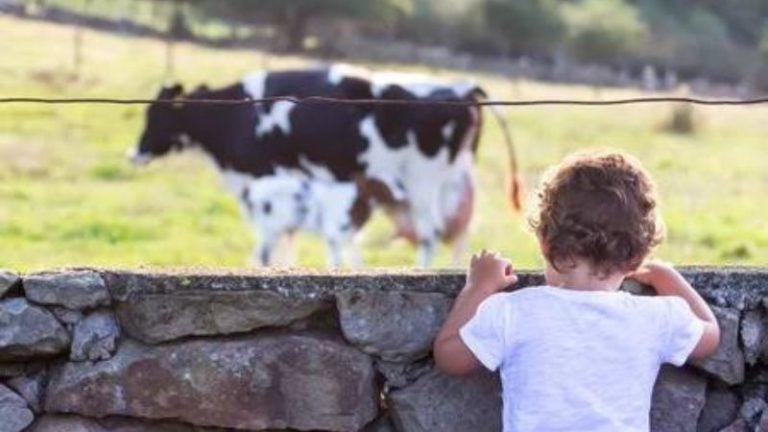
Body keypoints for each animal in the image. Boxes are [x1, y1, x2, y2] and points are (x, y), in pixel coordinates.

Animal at [130, 64, 520, 266]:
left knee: (430, 234)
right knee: (458, 233)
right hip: (453, 182)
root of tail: (464, 87)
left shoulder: (265, 176)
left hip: (424, 182)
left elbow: (277, 238)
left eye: (156, 115)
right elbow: (289, 235)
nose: (133, 154)